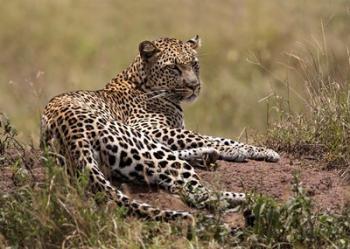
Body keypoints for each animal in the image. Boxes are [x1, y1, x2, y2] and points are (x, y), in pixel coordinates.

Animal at [41, 35, 280, 226]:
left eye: (195, 64)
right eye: (174, 67)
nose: (195, 86)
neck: (139, 80)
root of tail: (72, 133)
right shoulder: (150, 128)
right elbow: (212, 137)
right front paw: (254, 150)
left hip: (134, 159)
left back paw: (208, 156)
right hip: (140, 142)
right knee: (197, 193)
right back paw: (251, 197)